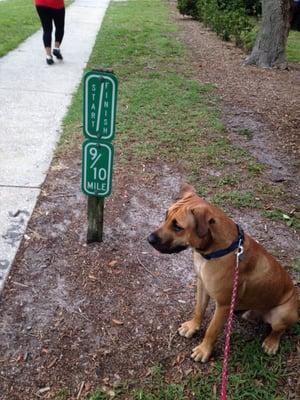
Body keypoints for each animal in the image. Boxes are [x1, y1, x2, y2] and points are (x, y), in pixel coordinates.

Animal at [148, 184, 298, 362]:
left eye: (178, 227)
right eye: (166, 216)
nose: (149, 239)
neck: (213, 250)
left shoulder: (223, 305)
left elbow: (212, 330)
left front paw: (204, 350)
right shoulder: (202, 285)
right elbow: (198, 310)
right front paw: (192, 326)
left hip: (282, 313)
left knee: (278, 330)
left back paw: (271, 343)